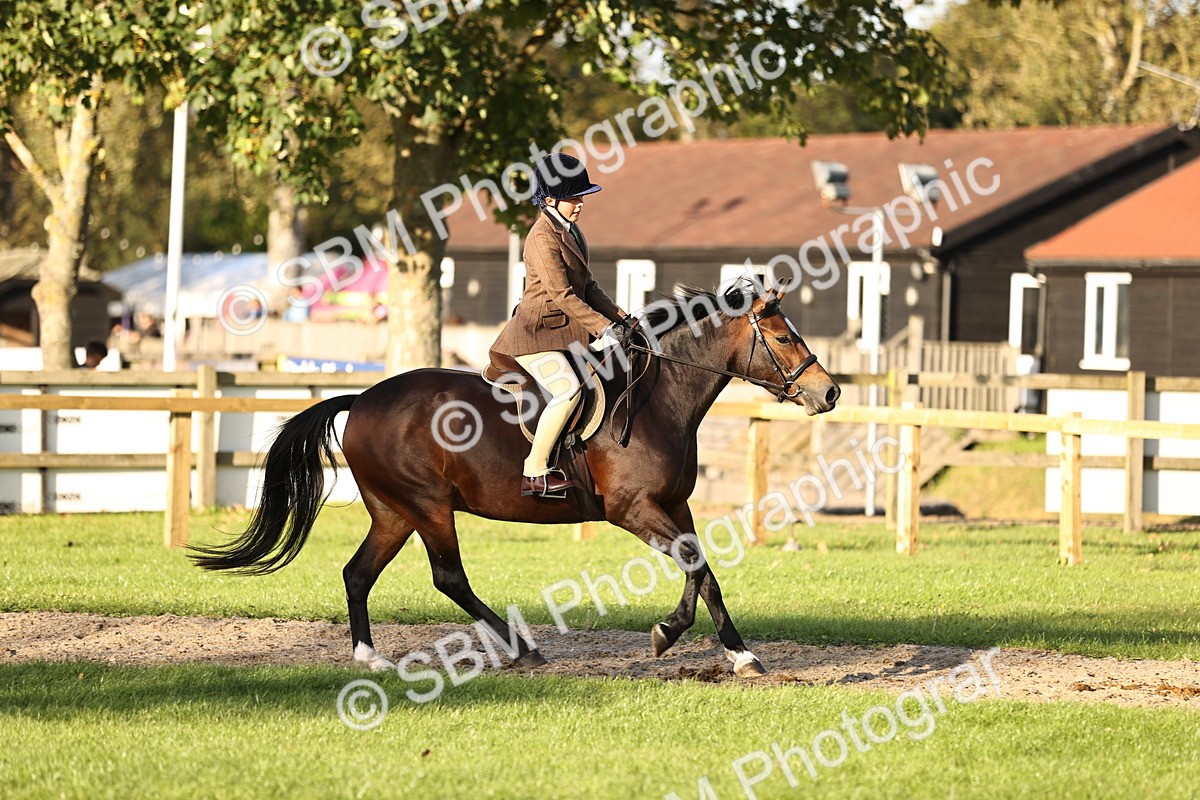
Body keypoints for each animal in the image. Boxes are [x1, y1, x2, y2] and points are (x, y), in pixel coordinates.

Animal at [190, 284, 841, 678]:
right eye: (783, 337)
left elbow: (704, 572)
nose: (829, 392)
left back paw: (371, 659)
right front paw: (691, 642)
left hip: (394, 511)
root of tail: (365, 398)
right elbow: (697, 566)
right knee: (448, 576)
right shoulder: (632, 508)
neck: (660, 398)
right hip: (428, 507)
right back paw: (521, 648)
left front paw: (720, 648)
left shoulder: (672, 506)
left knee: (358, 573)